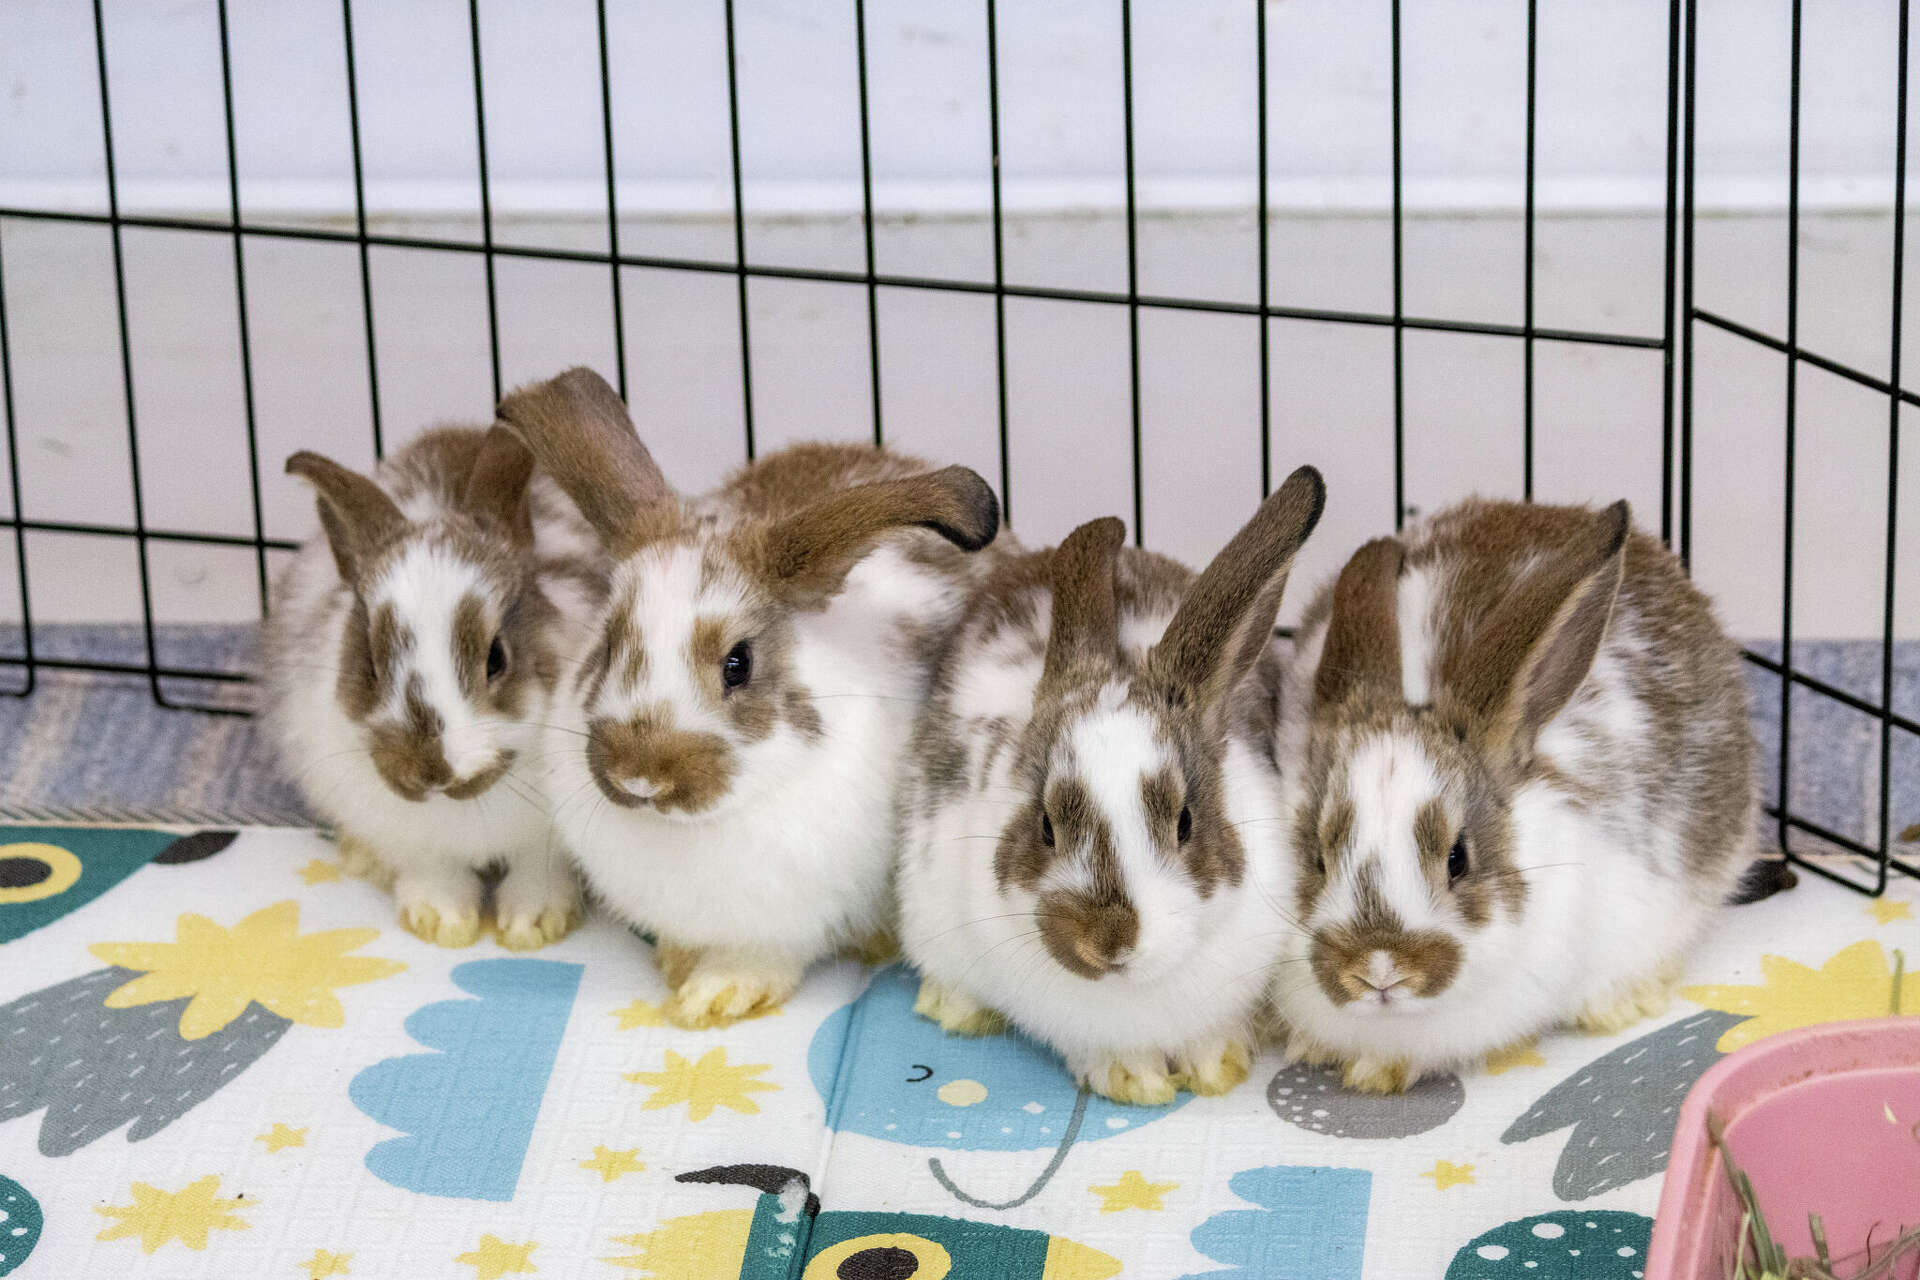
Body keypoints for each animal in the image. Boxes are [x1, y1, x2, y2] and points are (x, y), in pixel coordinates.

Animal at [265, 424, 604, 950]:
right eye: (370, 663)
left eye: (497, 657)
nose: (431, 771)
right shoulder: (407, 832)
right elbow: (433, 868)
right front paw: (443, 923)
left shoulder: (550, 838)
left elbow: (537, 870)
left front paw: (533, 926)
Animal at [494, 366, 1005, 1029]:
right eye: (606, 645)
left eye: (738, 664)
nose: (640, 778)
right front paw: (678, 963)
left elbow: (761, 959)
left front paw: (713, 995)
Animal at [896, 466, 1326, 1106]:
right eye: (1046, 826)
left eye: (1184, 822)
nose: (1107, 943)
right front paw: (1135, 1082)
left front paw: (1216, 1068)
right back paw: (955, 1008)